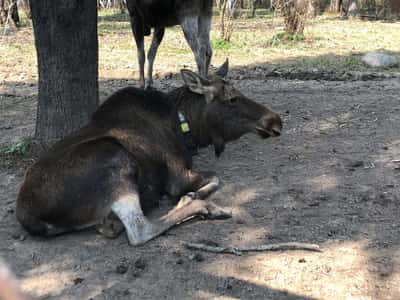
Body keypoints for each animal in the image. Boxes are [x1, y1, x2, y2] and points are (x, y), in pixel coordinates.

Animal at [17, 61, 282, 246]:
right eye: (232, 98)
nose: (275, 120)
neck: (184, 126)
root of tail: (31, 217)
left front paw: (192, 196)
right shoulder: (179, 177)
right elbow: (216, 178)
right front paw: (193, 197)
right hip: (114, 158)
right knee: (140, 230)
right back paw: (205, 207)